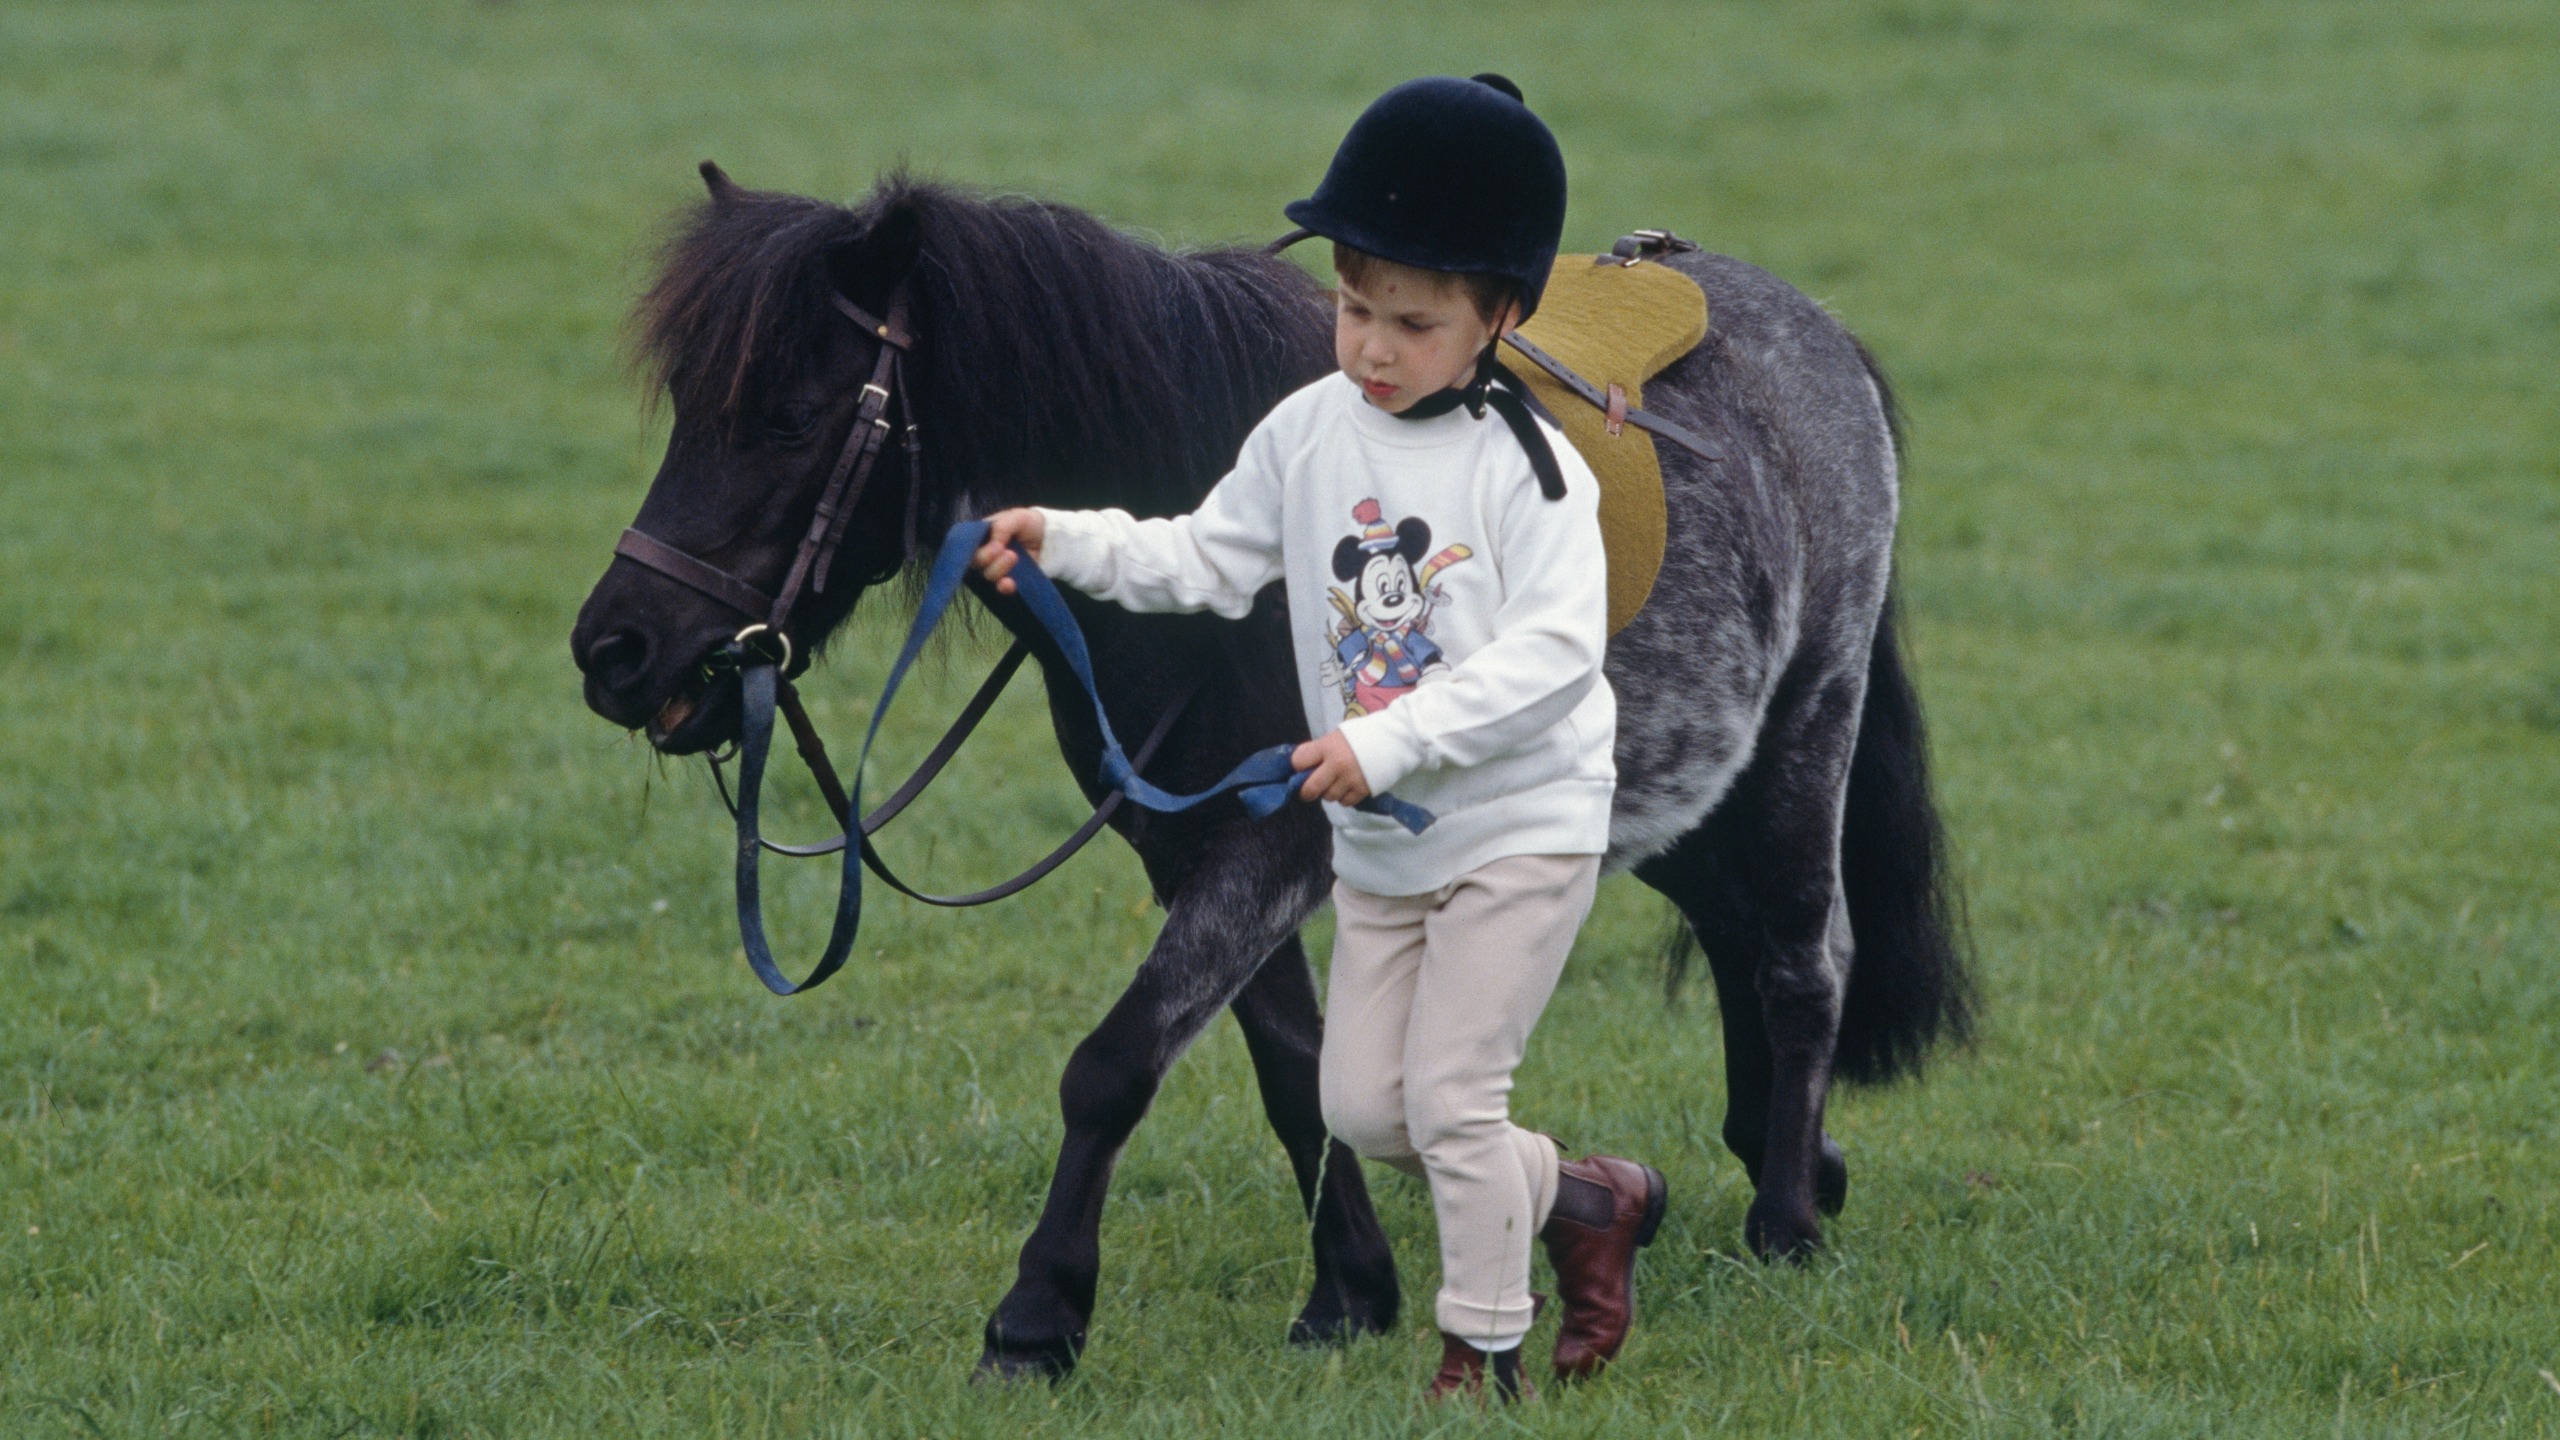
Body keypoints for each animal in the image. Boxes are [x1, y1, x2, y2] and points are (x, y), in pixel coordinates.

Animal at [570, 163, 1970, 1380]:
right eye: (691, 411)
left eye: (789, 418)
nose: (615, 652)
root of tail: (1818, 335)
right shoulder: (1190, 845)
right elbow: (1299, 1072)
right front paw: (1348, 1294)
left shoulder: (1270, 841)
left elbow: (1116, 1065)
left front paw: (1036, 1319)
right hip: (1681, 791)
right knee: (1739, 935)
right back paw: (1788, 1168)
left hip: (1804, 730)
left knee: (1801, 959)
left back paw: (1784, 1224)